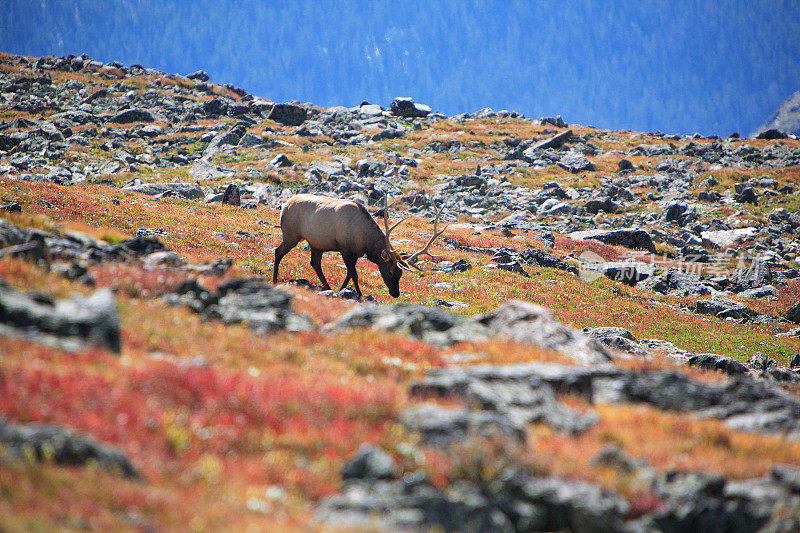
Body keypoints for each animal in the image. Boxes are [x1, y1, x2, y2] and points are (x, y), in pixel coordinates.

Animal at [274, 193, 450, 298]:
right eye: (391, 271)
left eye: (401, 274)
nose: (395, 293)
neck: (365, 241)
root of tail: (283, 206)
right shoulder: (344, 248)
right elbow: (354, 274)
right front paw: (358, 294)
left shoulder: (356, 253)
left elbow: (349, 274)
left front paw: (341, 289)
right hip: (291, 234)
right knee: (278, 251)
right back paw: (275, 279)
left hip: (316, 243)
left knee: (315, 263)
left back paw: (326, 286)